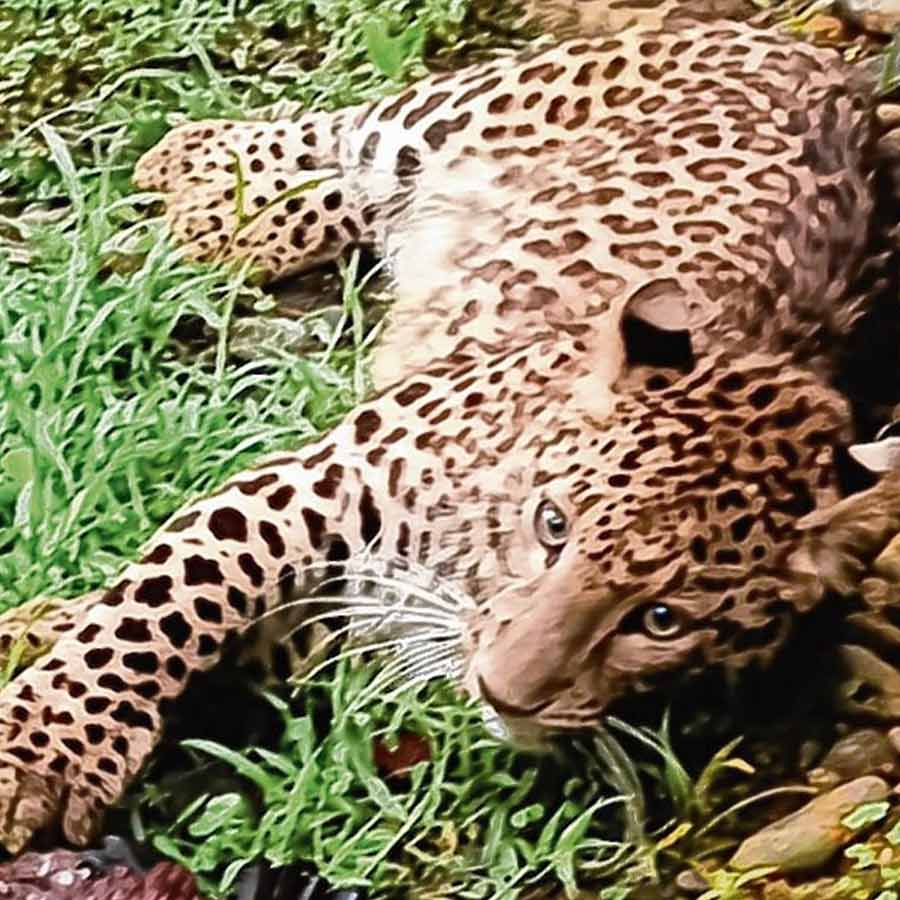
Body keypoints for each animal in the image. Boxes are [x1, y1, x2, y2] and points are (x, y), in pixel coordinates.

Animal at [2, 0, 900, 858]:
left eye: (662, 621)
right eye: (552, 525)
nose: (505, 691)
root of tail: (829, 68)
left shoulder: (349, 629)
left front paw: (36, 638)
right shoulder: (318, 480)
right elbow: (163, 602)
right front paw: (41, 750)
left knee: (352, 197)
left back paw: (233, 220)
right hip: (463, 109)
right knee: (347, 129)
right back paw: (203, 166)